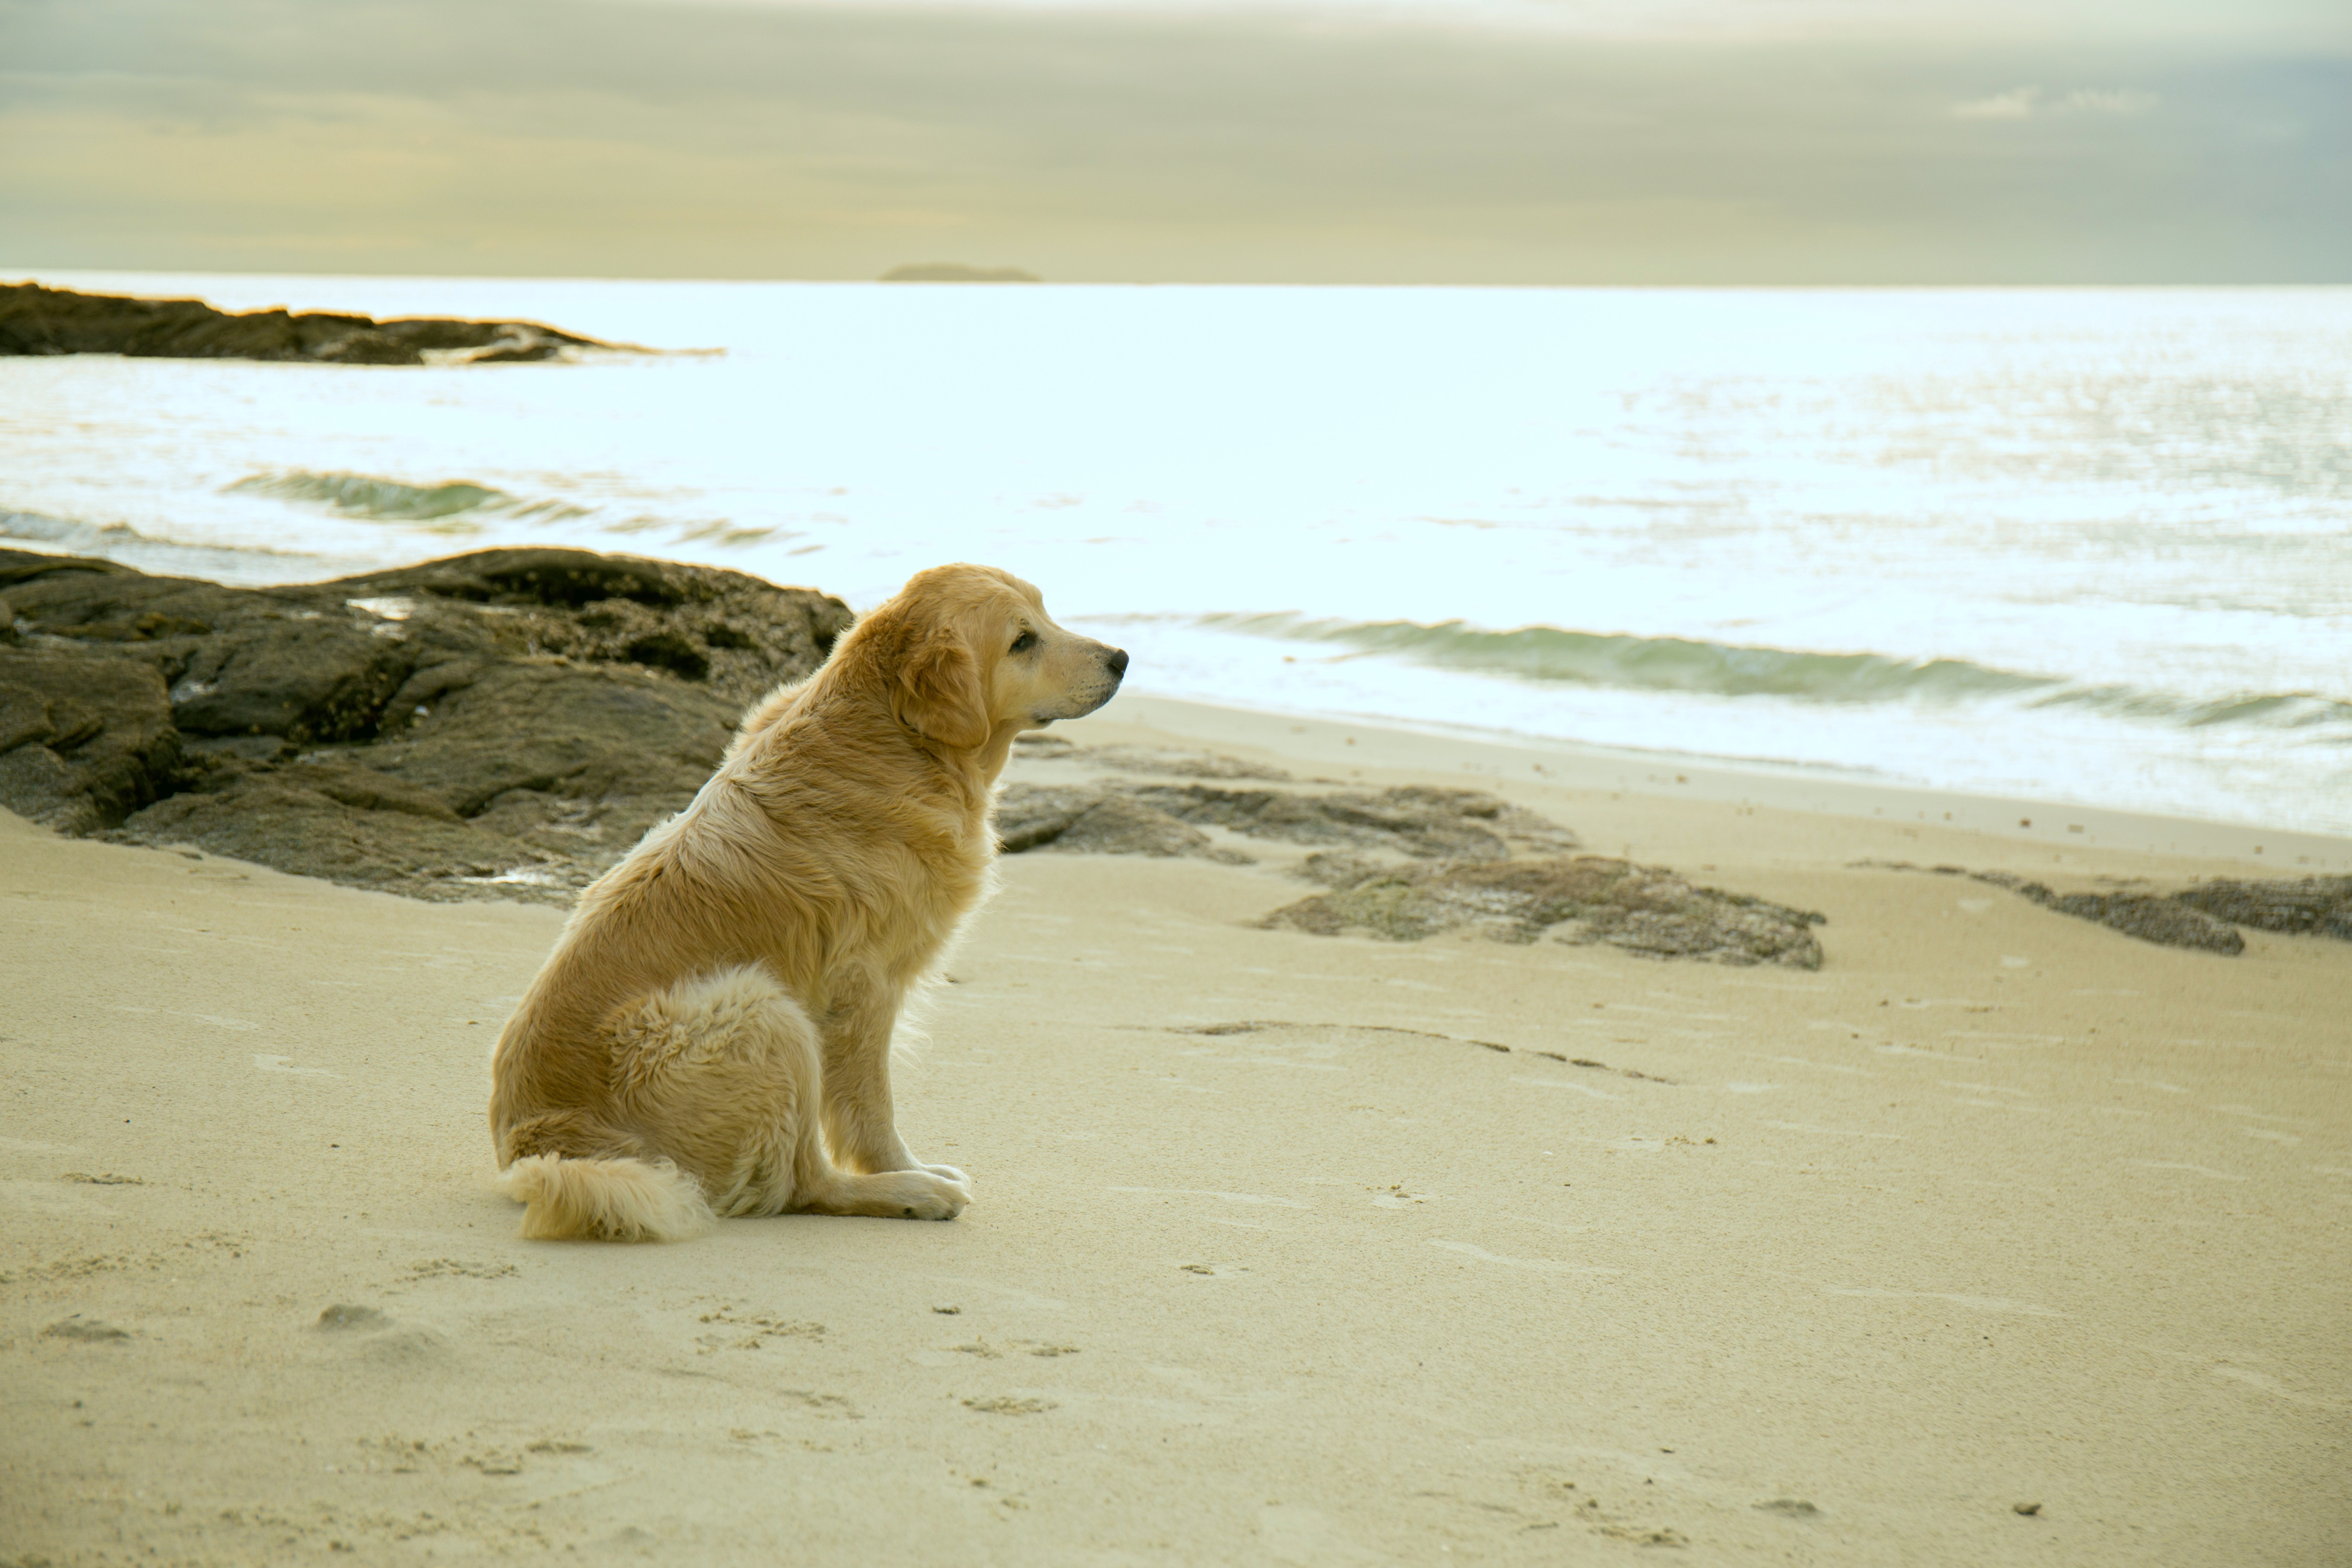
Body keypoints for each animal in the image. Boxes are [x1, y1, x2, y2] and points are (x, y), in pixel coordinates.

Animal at [486, 564, 1129, 1241]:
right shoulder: (864, 984)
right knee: (805, 1183)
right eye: (1021, 641)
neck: (899, 738)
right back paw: (912, 1190)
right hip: (764, 1010)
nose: (1122, 658)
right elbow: (872, 1106)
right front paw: (901, 1166)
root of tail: (535, 1143)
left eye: (1046, 613)